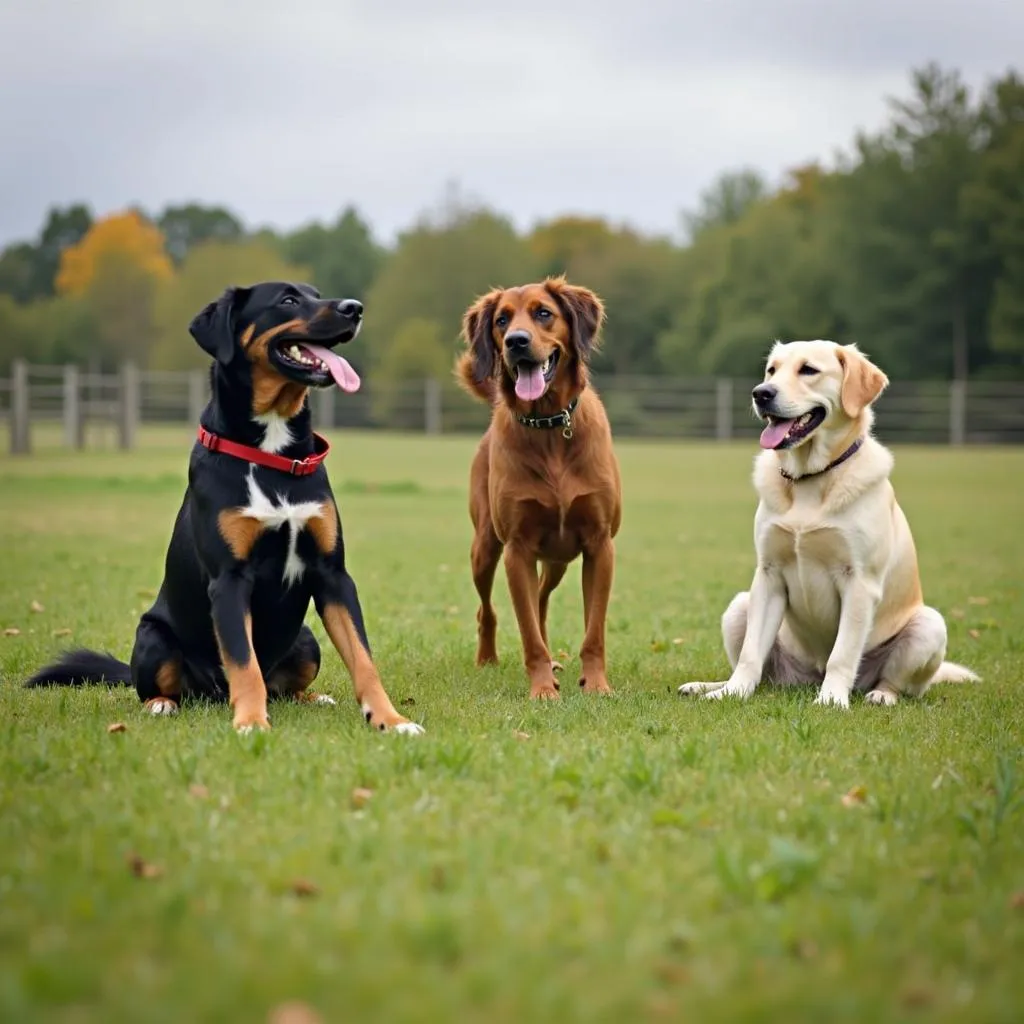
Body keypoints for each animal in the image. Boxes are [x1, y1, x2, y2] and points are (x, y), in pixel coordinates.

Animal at [25, 280, 423, 737]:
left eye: (316, 293)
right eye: (288, 300)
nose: (354, 309)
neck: (271, 454)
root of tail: (210, 693)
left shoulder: (333, 576)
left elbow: (363, 660)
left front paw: (391, 720)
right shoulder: (230, 579)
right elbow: (243, 662)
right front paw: (251, 722)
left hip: (306, 639)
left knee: (284, 686)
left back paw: (311, 697)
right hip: (153, 636)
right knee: (162, 687)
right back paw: (163, 704)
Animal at [458, 276, 622, 700]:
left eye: (543, 313)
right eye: (501, 320)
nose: (516, 341)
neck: (549, 425)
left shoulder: (599, 545)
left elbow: (593, 631)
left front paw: (596, 684)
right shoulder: (517, 548)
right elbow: (528, 632)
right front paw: (543, 689)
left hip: (558, 560)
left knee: (543, 602)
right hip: (485, 549)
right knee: (489, 609)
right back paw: (489, 658)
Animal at [679, 339, 974, 708]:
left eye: (809, 370)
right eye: (772, 370)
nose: (761, 393)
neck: (810, 477)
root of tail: (809, 677)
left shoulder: (859, 581)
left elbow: (842, 654)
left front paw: (832, 700)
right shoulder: (769, 574)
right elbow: (751, 654)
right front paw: (732, 693)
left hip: (929, 625)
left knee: (897, 683)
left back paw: (880, 695)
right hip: (739, 606)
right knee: (763, 674)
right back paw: (708, 686)